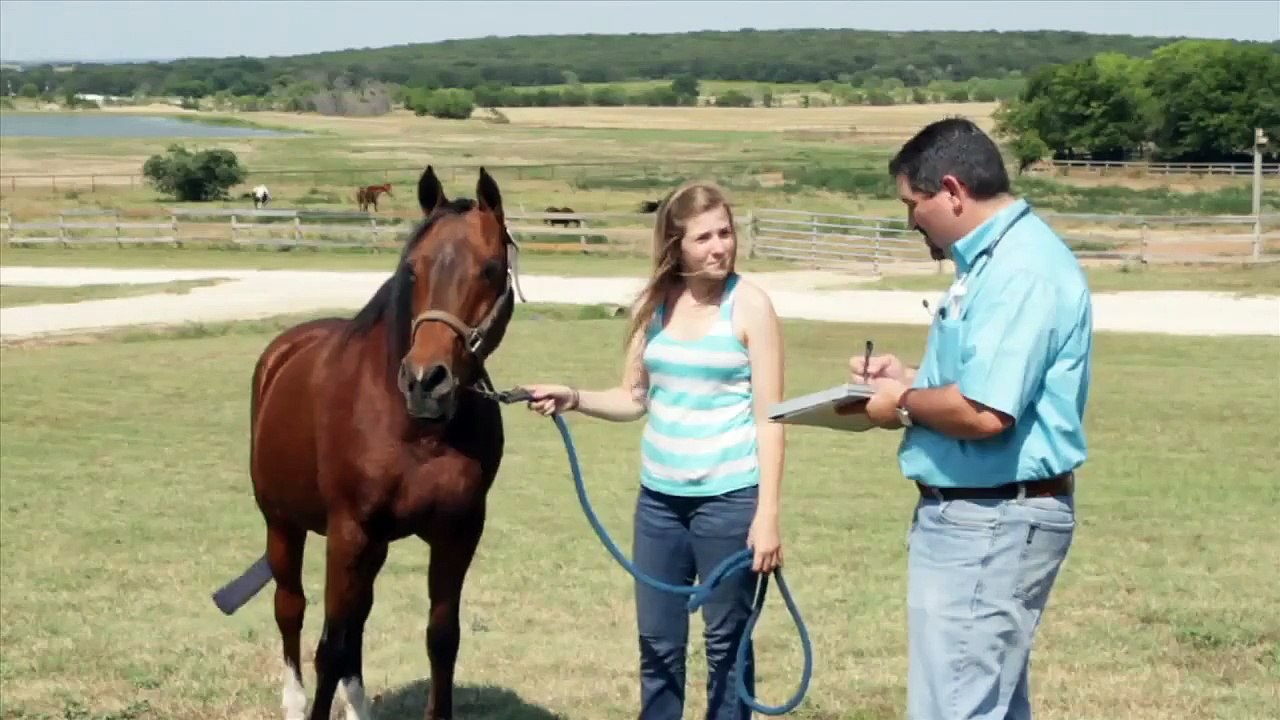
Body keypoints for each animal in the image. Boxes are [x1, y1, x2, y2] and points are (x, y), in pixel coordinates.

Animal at [211, 165, 521, 720]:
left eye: (489, 269)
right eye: (413, 270)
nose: (425, 381)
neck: (416, 431)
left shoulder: (459, 531)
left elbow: (442, 637)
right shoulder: (348, 532)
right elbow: (329, 648)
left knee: (355, 620)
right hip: (284, 525)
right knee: (292, 609)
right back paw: (293, 701)